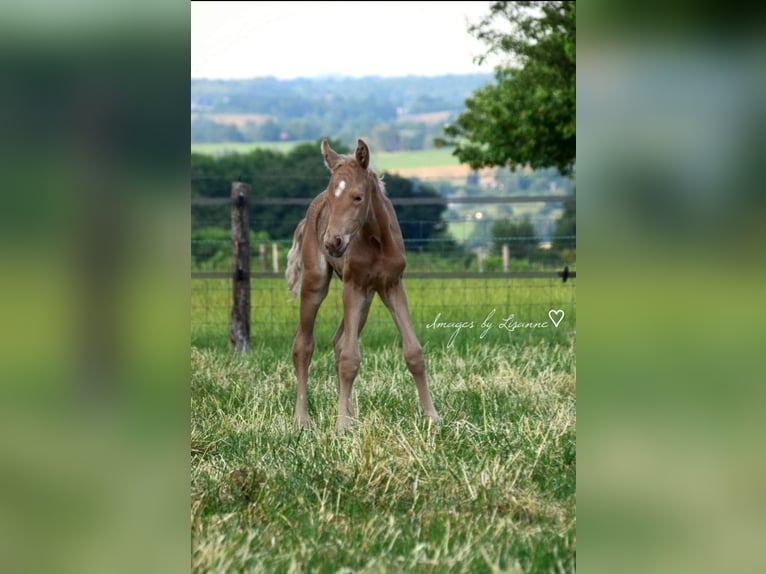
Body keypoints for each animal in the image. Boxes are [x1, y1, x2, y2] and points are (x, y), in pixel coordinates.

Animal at [286, 140, 444, 434]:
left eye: (358, 197)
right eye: (332, 198)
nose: (332, 242)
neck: (377, 239)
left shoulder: (392, 285)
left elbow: (414, 352)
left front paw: (432, 418)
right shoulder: (353, 285)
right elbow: (350, 358)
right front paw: (341, 426)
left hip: (369, 298)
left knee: (338, 342)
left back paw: (350, 413)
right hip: (317, 282)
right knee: (303, 345)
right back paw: (302, 420)